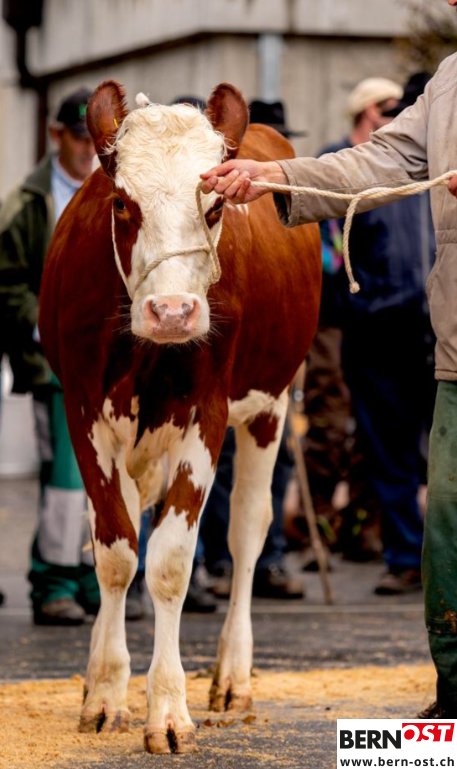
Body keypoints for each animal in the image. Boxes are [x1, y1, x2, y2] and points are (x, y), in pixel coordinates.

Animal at [38, 80, 321, 754]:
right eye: (121, 203)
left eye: (215, 207)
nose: (172, 311)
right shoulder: (83, 410)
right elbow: (115, 549)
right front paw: (105, 693)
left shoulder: (207, 411)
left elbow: (169, 560)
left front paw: (167, 709)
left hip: (270, 406)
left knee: (247, 530)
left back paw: (233, 678)